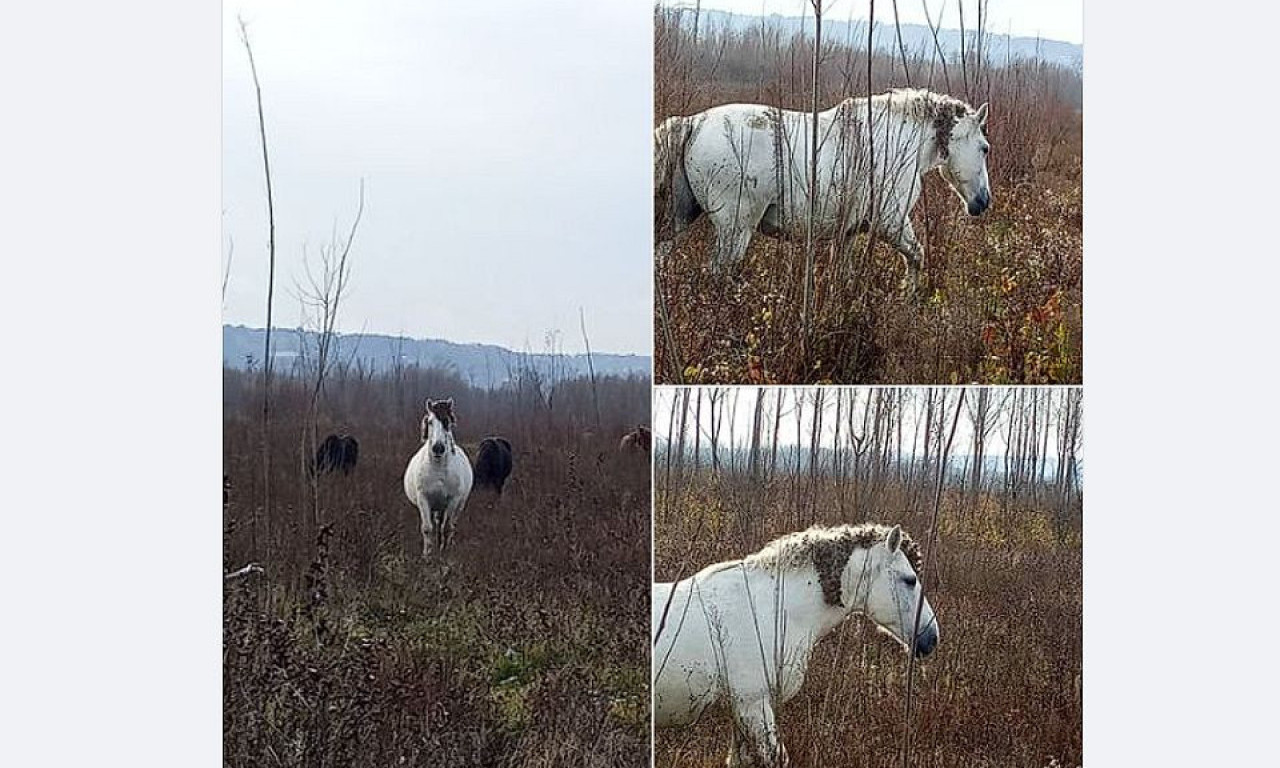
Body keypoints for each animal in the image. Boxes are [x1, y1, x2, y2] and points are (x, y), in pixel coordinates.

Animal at [401, 396, 473, 558]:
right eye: (430, 422)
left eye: (447, 422)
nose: (438, 448)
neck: (438, 468)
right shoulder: (424, 499)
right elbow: (427, 528)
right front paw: (427, 555)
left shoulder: (453, 500)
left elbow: (446, 528)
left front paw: (443, 554)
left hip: (456, 506)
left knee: (450, 526)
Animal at [655, 87, 993, 285]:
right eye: (984, 148)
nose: (983, 201)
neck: (891, 142)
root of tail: (694, 122)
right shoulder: (891, 222)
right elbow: (916, 256)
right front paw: (908, 300)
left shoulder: (848, 232)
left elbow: (844, 276)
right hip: (735, 230)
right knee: (718, 273)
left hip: (681, 220)